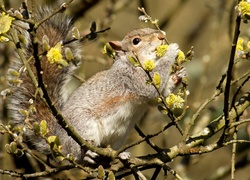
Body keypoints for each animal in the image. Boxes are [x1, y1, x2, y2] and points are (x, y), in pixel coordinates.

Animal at [5, 5, 186, 163]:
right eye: (136, 41)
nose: (161, 36)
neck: (131, 63)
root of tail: (58, 141)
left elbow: (158, 96)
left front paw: (178, 76)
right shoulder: (129, 79)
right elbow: (150, 87)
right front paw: (171, 51)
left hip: (118, 137)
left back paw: (122, 155)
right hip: (83, 126)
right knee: (76, 154)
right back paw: (86, 156)